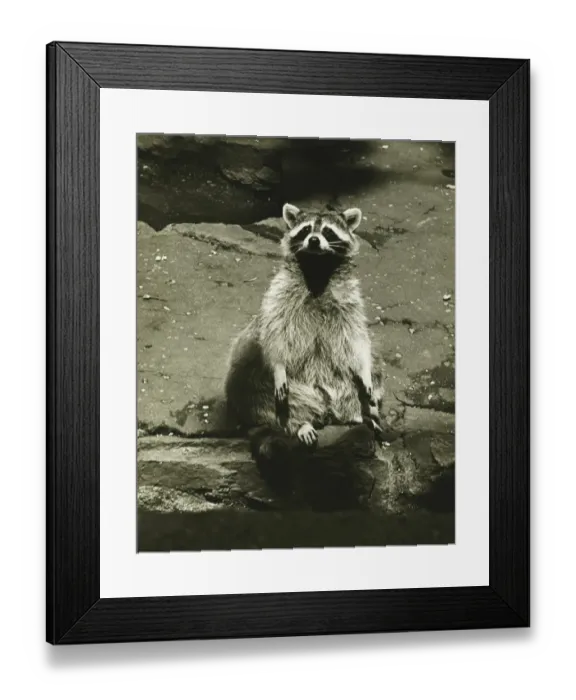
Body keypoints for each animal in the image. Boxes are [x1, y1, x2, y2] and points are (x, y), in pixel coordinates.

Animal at [224, 203, 384, 471]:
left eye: (327, 231)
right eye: (307, 229)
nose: (314, 240)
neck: (317, 268)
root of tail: (324, 409)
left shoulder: (350, 302)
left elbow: (356, 340)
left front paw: (364, 371)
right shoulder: (279, 295)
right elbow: (275, 334)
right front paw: (279, 366)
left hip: (341, 385)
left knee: (367, 382)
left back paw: (361, 416)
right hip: (259, 381)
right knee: (256, 390)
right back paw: (299, 424)